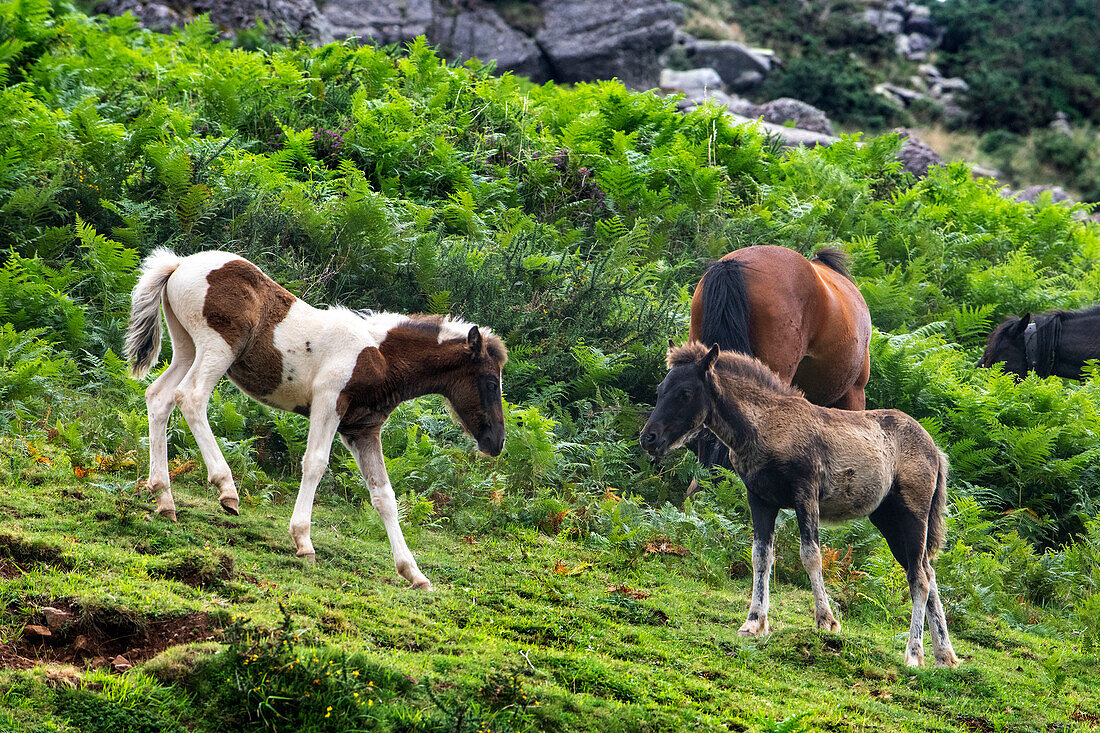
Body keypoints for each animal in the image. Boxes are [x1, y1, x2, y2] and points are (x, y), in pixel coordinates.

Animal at [126, 246, 508, 589]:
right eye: (491, 382)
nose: (496, 442)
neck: (380, 356)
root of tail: (179, 264)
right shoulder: (328, 403)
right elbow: (315, 463)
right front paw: (303, 542)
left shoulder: (362, 429)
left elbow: (383, 495)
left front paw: (413, 573)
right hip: (217, 348)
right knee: (190, 398)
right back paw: (226, 488)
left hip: (187, 348)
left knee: (159, 398)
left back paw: (164, 498)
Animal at [642, 338, 959, 664]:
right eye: (660, 389)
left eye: (685, 392)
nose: (648, 438)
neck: (763, 428)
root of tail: (937, 452)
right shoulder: (760, 499)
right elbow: (761, 556)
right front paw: (753, 622)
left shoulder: (805, 493)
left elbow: (810, 555)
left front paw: (826, 620)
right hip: (888, 519)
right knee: (927, 572)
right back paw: (944, 654)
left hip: (913, 514)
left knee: (919, 578)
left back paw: (914, 652)